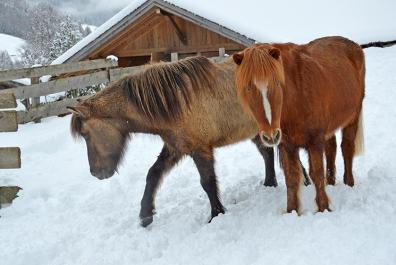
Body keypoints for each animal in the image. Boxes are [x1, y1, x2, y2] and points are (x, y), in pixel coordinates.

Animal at [232, 36, 366, 212]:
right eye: (248, 87)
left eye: (277, 83)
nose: (270, 135)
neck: (297, 96)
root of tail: (354, 46)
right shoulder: (286, 145)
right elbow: (291, 178)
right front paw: (292, 211)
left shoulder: (315, 141)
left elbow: (316, 174)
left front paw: (323, 209)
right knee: (331, 149)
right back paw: (331, 183)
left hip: (353, 117)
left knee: (347, 148)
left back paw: (349, 183)